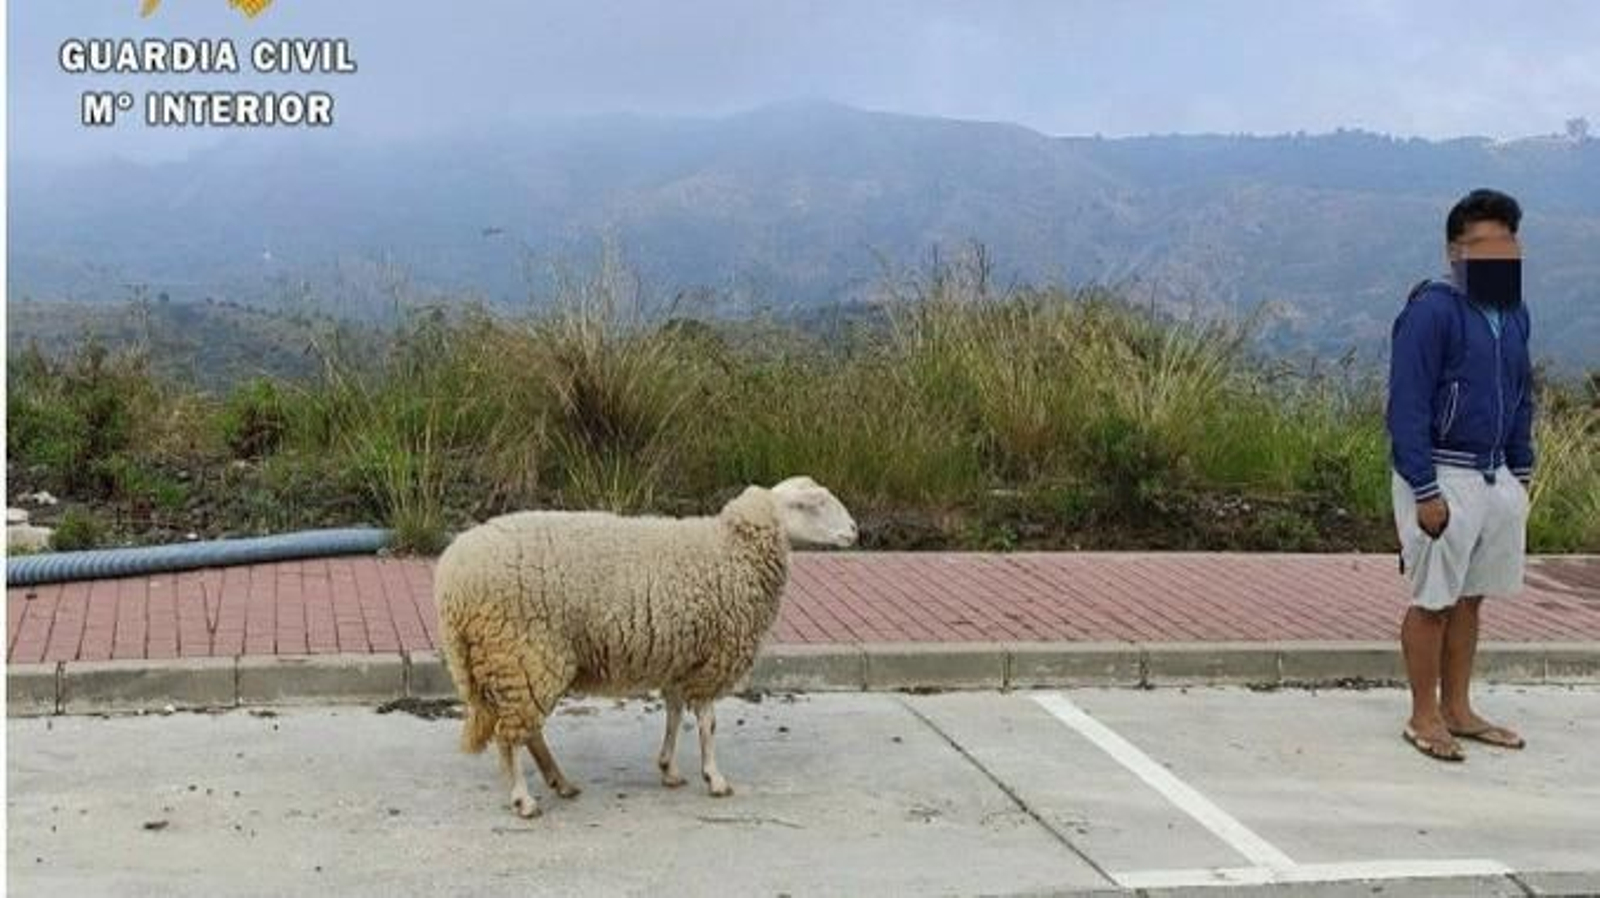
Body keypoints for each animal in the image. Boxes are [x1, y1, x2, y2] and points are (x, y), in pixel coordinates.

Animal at [435, 476, 858, 818]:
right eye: (813, 503)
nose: (855, 531)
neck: (731, 549)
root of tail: (450, 581)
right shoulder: (713, 658)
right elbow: (708, 722)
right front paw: (715, 778)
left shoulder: (682, 656)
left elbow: (673, 713)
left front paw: (669, 769)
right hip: (523, 653)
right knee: (511, 735)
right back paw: (524, 800)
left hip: (518, 660)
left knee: (528, 731)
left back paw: (562, 783)